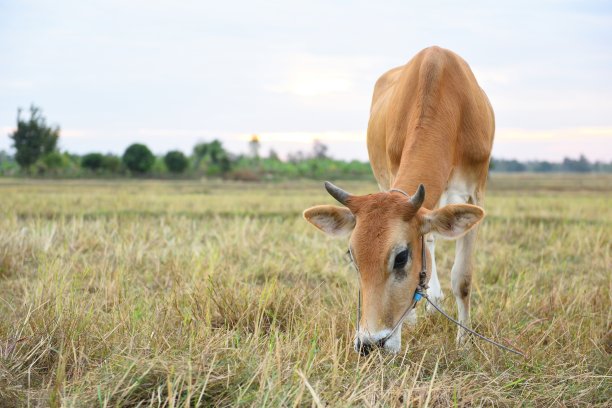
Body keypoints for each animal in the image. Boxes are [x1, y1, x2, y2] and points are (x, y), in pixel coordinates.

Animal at [304, 46, 494, 356]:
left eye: (401, 256)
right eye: (352, 256)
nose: (370, 344)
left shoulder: (475, 191)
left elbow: (463, 279)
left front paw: (464, 341)